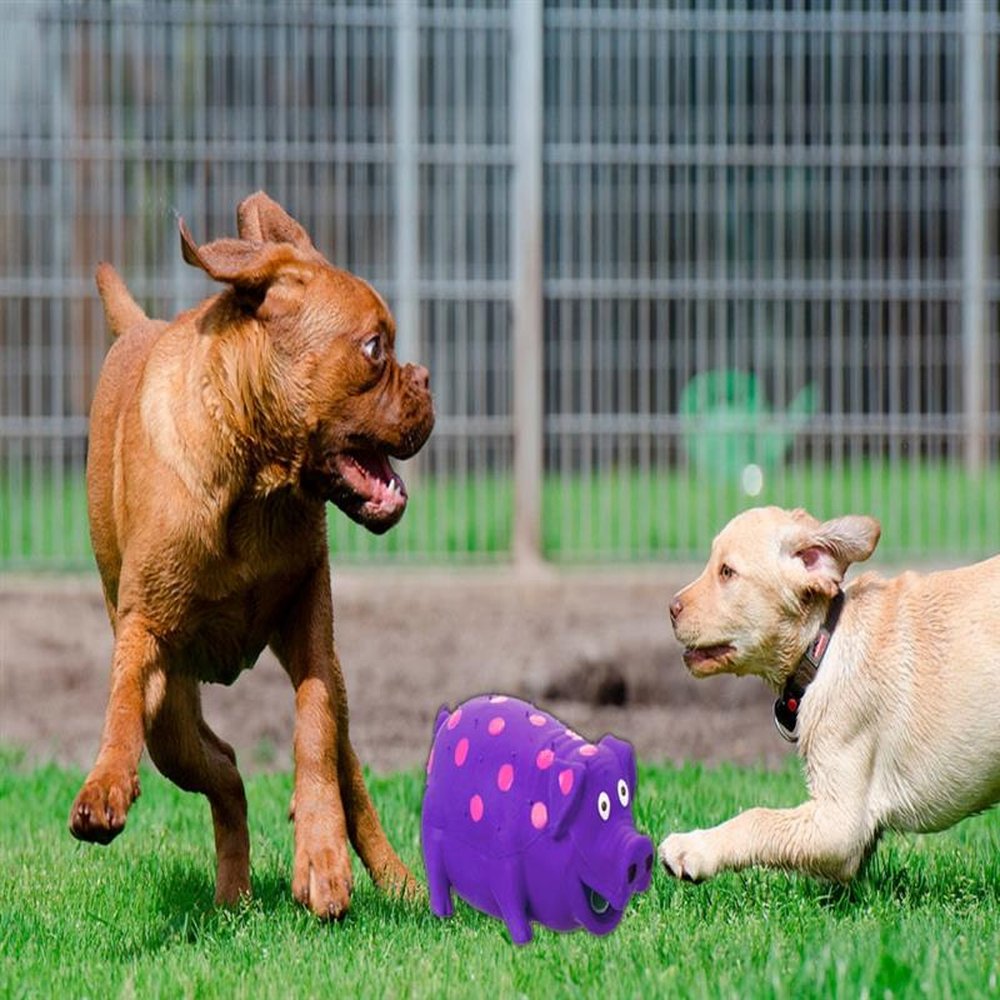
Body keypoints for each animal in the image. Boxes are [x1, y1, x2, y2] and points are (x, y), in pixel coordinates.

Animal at [66, 191, 434, 916]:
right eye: (375, 348)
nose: (427, 380)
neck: (254, 480)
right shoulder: (142, 628)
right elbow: (121, 702)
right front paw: (104, 783)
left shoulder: (311, 625)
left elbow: (313, 733)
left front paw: (321, 855)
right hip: (171, 720)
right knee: (225, 771)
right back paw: (234, 892)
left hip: (325, 692)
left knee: (344, 774)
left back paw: (396, 880)